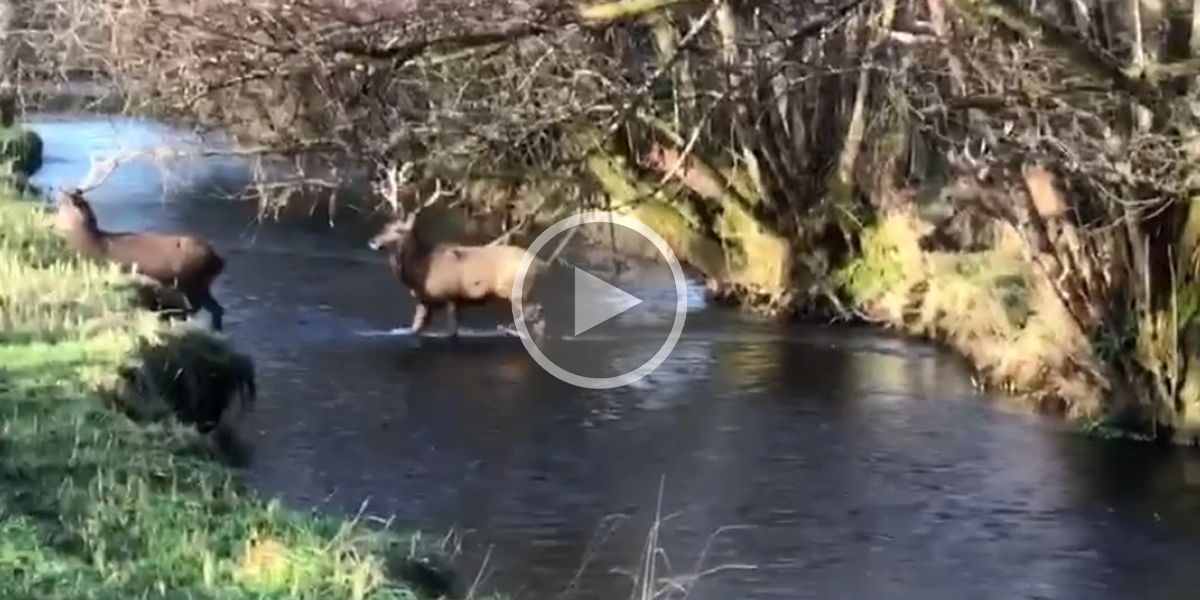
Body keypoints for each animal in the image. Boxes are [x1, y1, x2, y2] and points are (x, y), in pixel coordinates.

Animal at [364, 166, 552, 340]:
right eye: (385, 226)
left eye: (398, 230)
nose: (373, 241)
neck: (420, 268)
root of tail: (541, 264)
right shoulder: (425, 301)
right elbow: (415, 329)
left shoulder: (450, 296)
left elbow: (451, 331)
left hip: (519, 292)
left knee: (538, 317)